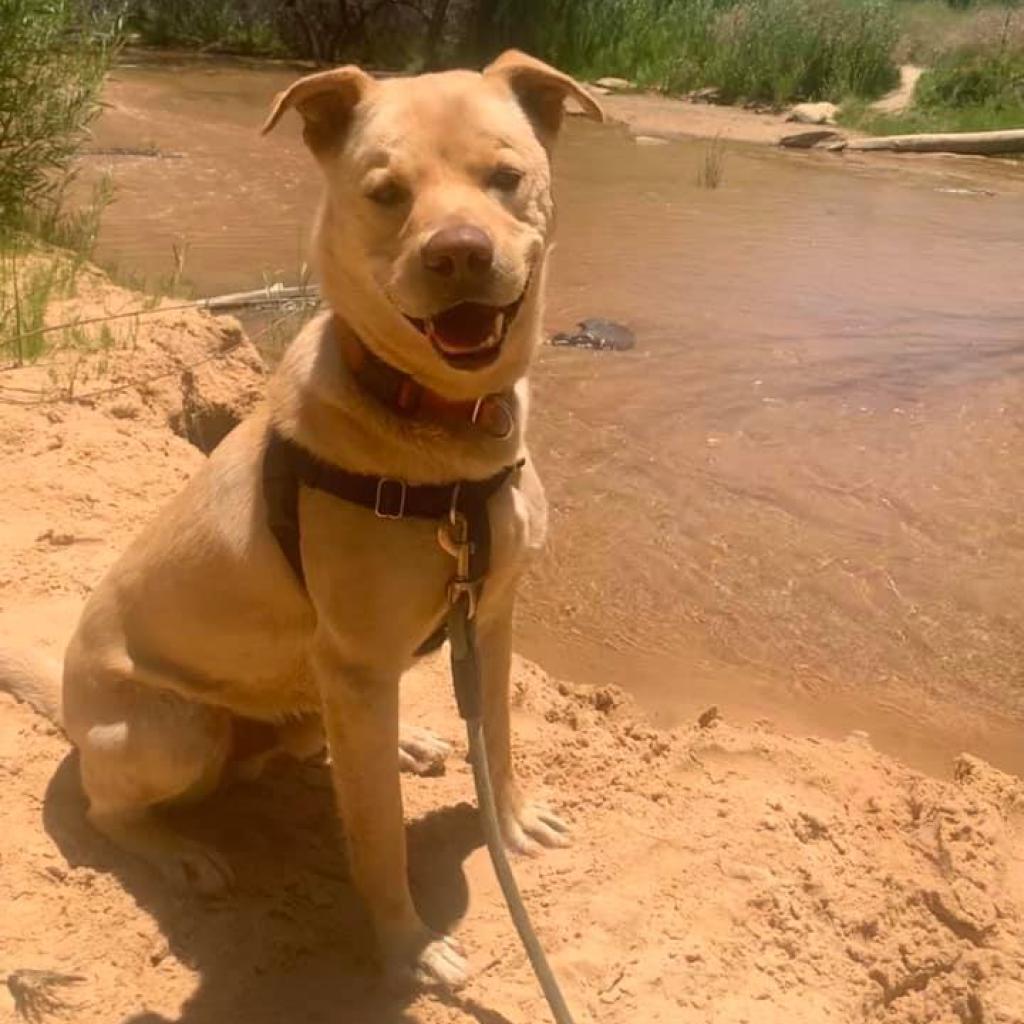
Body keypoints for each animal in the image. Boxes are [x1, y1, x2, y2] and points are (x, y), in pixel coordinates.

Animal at [0, 51, 602, 987]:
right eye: (385, 192)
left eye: (507, 178)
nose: (461, 253)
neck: (443, 434)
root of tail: (67, 708)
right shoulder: (356, 664)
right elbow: (378, 832)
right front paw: (408, 946)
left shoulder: (493, 618)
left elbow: (496, 737)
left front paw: (509, 823)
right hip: (179, 728)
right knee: (111, 812)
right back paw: (179, 851)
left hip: (312, 704)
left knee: (321, 747)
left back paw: (407, 741)